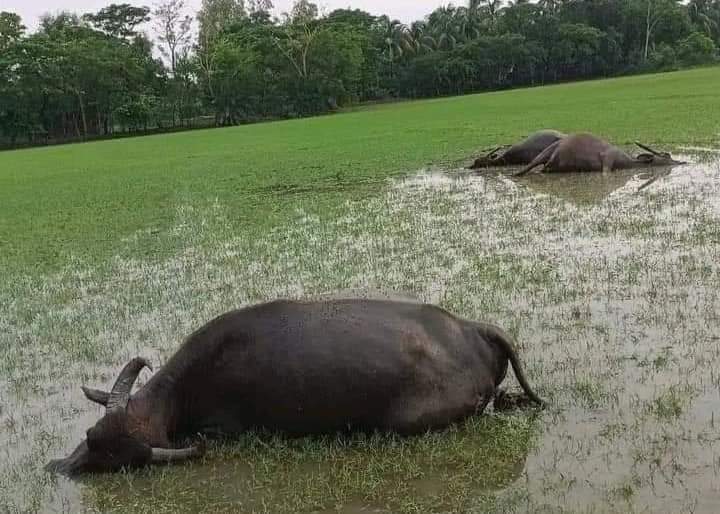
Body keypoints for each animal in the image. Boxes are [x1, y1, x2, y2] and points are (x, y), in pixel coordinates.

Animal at [516, 133, 684, 175]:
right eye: (666, 156)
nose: (681, 162)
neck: (626, 161)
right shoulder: (608, 160)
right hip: (546, 152)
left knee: (543, 169)